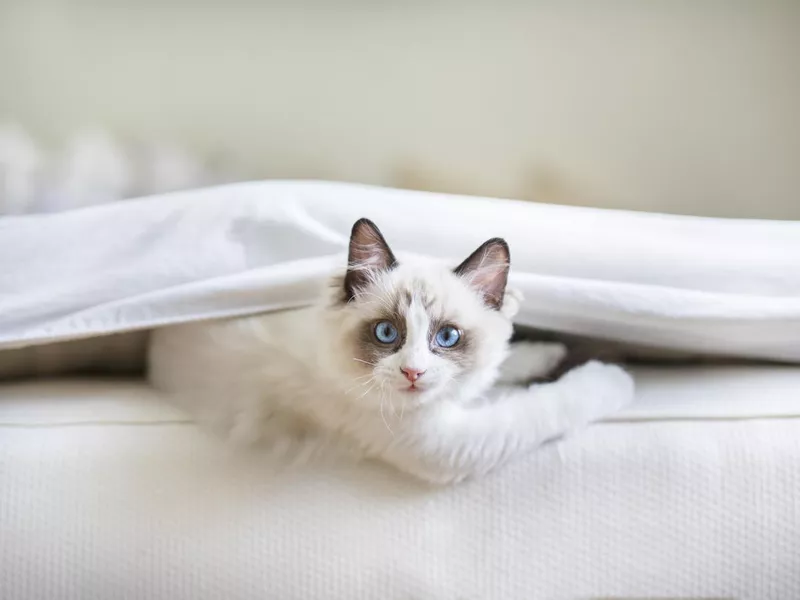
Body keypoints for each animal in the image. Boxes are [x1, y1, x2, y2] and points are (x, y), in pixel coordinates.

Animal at [148, 218, 636, 486]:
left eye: (448, 338)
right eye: (386, 333)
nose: (413, 374)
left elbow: (506, 364)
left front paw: (551, 351)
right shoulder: (448, 444)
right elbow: (550, 405)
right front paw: (614, 375)